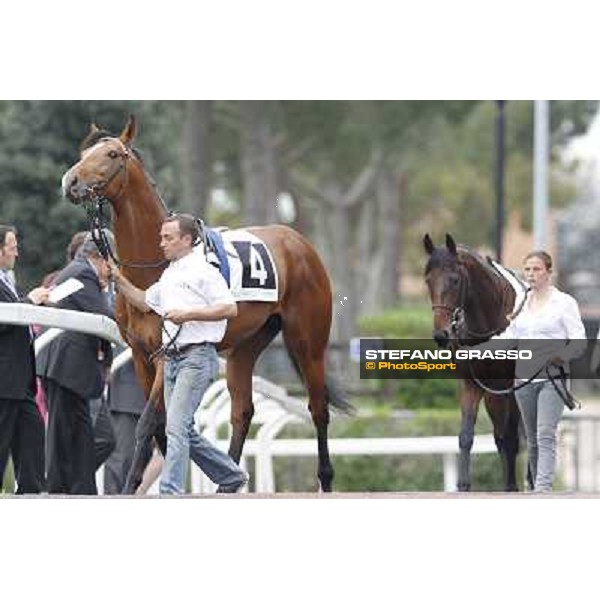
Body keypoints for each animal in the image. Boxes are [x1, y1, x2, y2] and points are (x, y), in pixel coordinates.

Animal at [59, 116, 352, 492]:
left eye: (112, 154)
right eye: (84, 153)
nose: (71, 181)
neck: (155, 266)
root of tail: (298, 241)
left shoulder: (165, 352)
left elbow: (149, 421)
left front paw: (131, 486)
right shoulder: (140, 354)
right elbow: (161, 424)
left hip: (308, 342)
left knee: (318, 409)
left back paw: (325, 480)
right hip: (246, 346)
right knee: (242, 411)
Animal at [422, 232, 520, 490]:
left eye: (455, 280)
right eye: (428, 281)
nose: (441, 334)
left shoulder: (503, 386)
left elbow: (507, 437)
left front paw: (510, 486)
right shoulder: (470, 384)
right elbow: (466, 436)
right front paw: (463, 485)